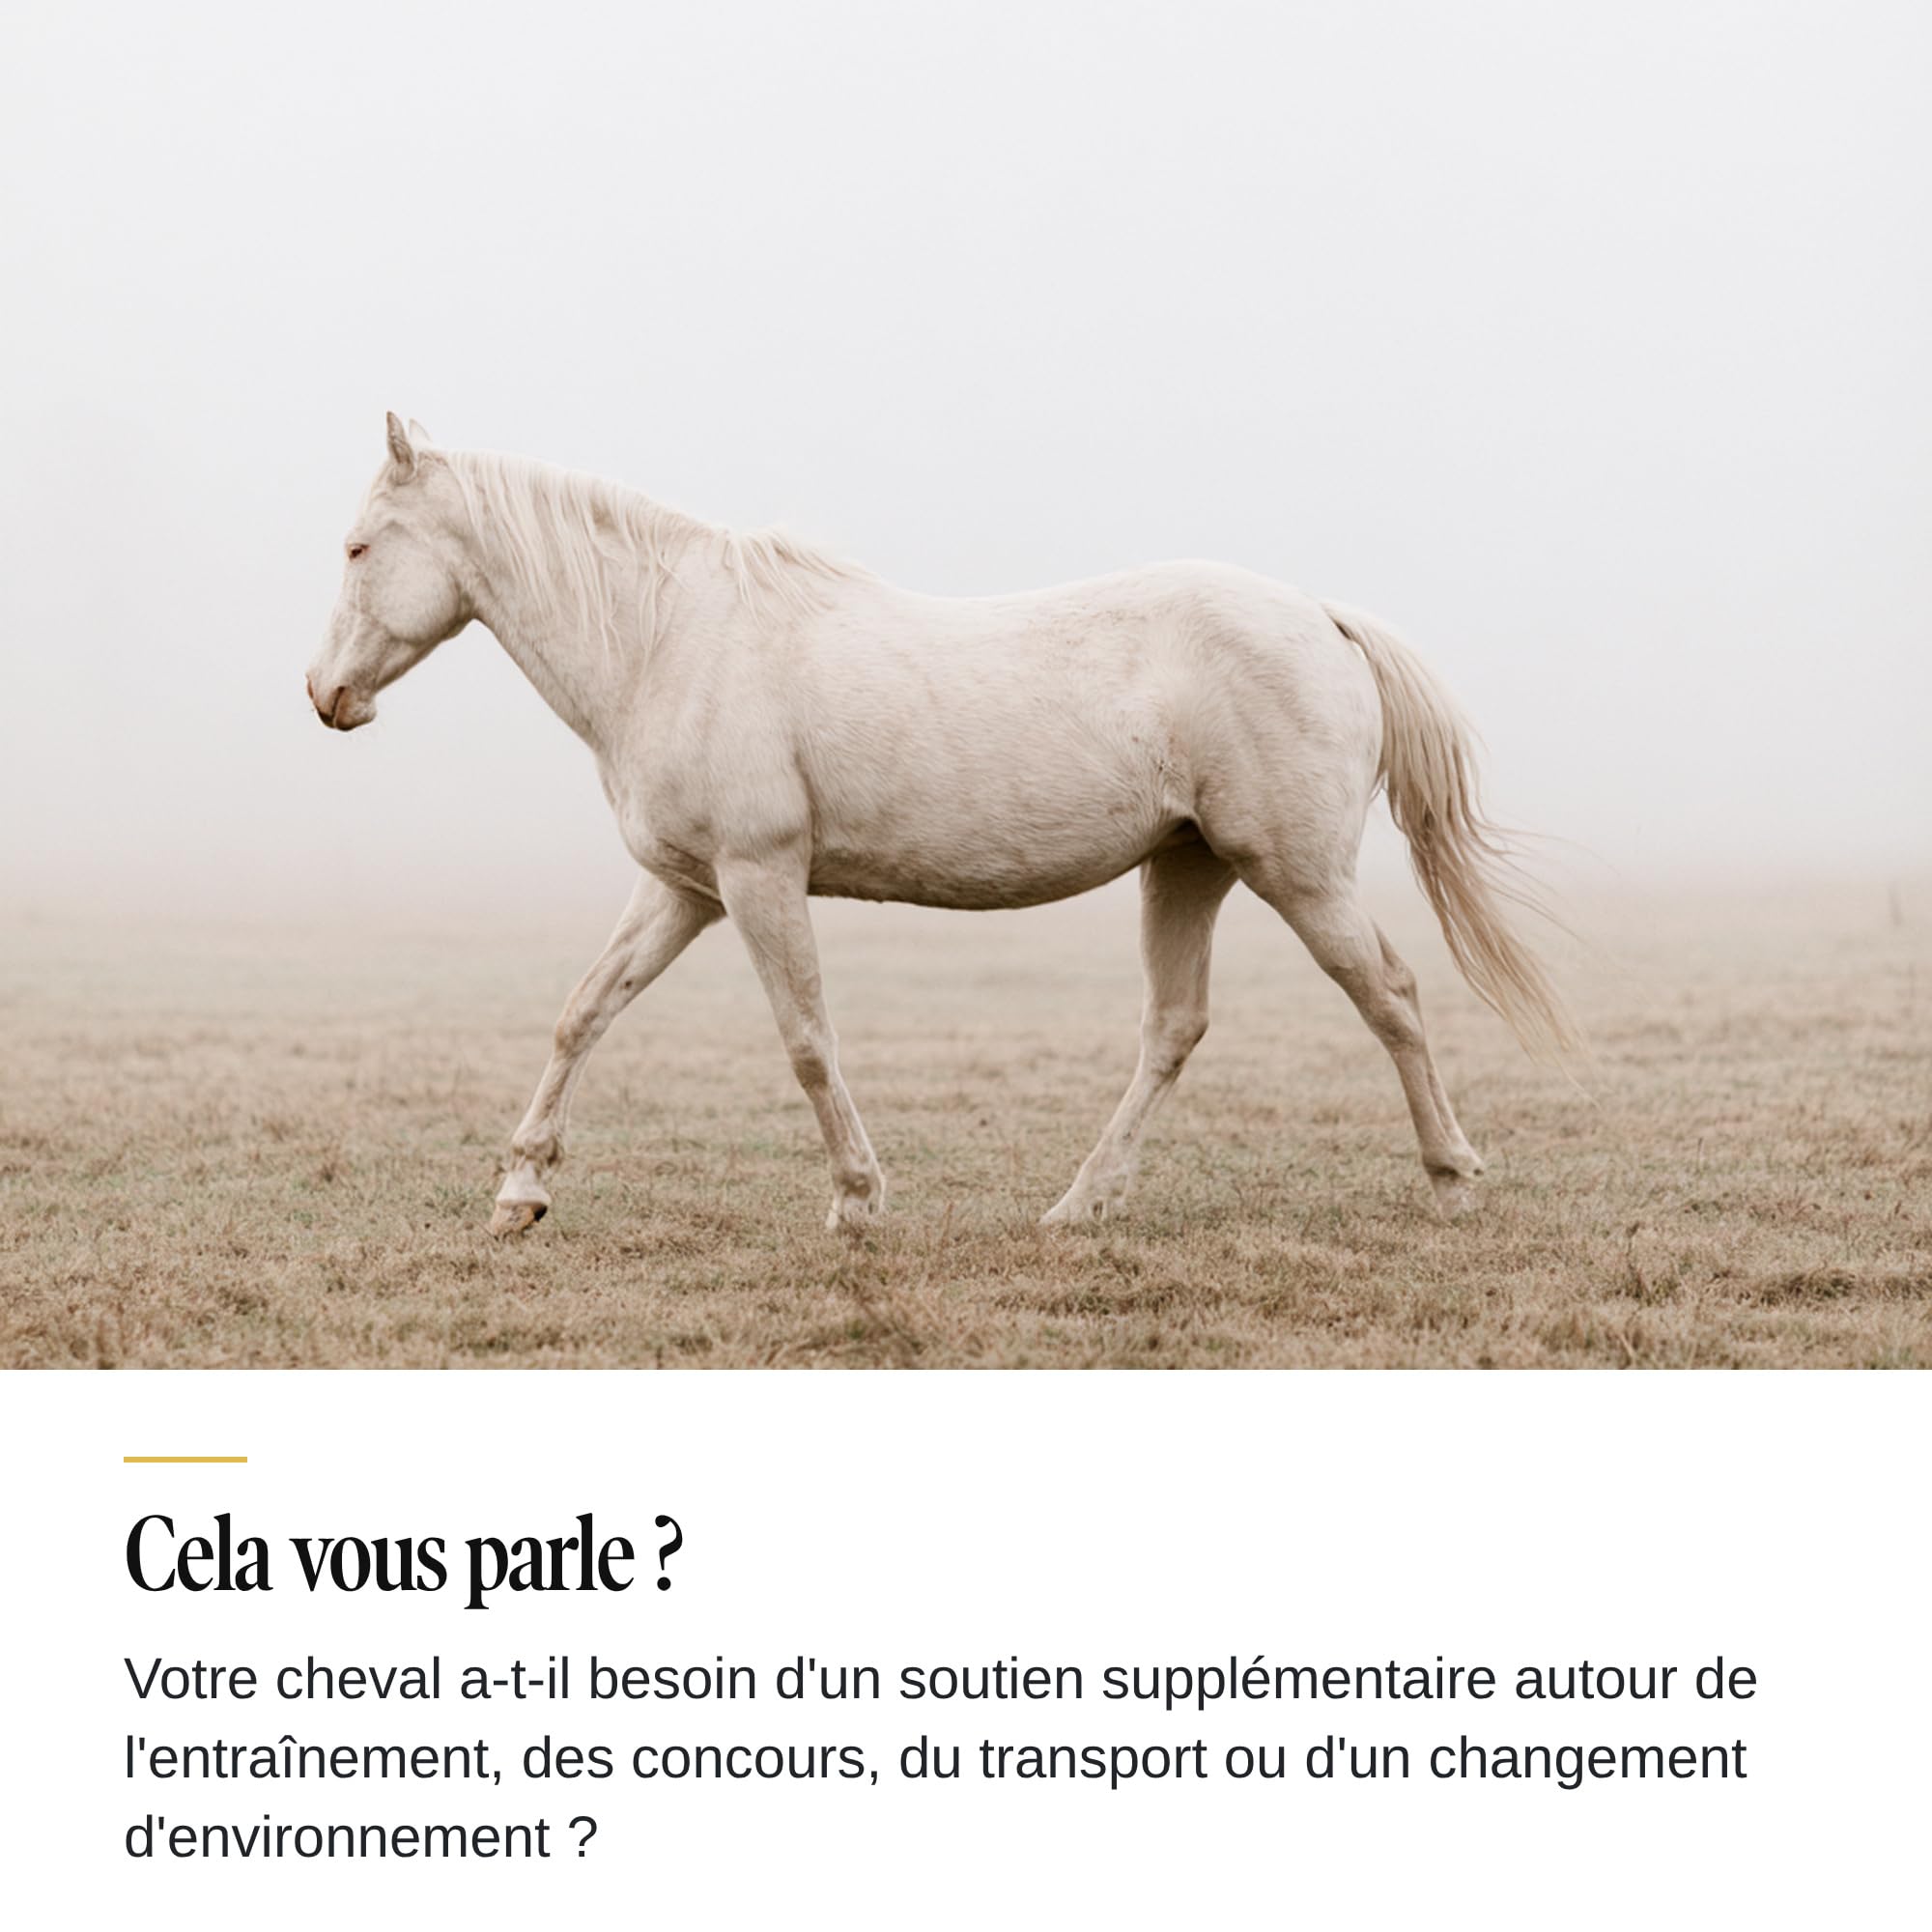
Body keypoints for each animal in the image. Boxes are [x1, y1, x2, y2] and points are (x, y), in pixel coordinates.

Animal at [306, 415, 1572, 1237]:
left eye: (360, 546)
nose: (325, 694)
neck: (671, 638)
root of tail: (1320, 614)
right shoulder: (687, 888)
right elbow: (582, 1013)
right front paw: (521, 1189)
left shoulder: (757, 878)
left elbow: (806, 1041)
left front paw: (857, 1201)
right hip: (1188, 867)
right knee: (1173, 1028)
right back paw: (1079, 1204)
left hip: (1295, 874)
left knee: (1389, 996)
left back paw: (1449, 1173)